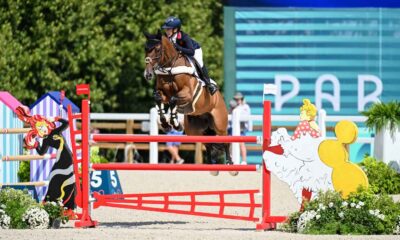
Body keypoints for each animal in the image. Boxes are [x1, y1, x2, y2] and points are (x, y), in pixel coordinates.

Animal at [144, 30, 233, 167]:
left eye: (157, 49)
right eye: (146, 49)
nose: (147, 74)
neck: (170, 68)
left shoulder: (187, 94)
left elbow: (173, 100)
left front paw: (175, 123)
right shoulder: (163, 94)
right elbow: (159, 99)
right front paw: (166, 124)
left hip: (220, 124)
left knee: (225, 141)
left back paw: (229, 163)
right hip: (195, 131)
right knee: (208, 142)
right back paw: (211, 164)